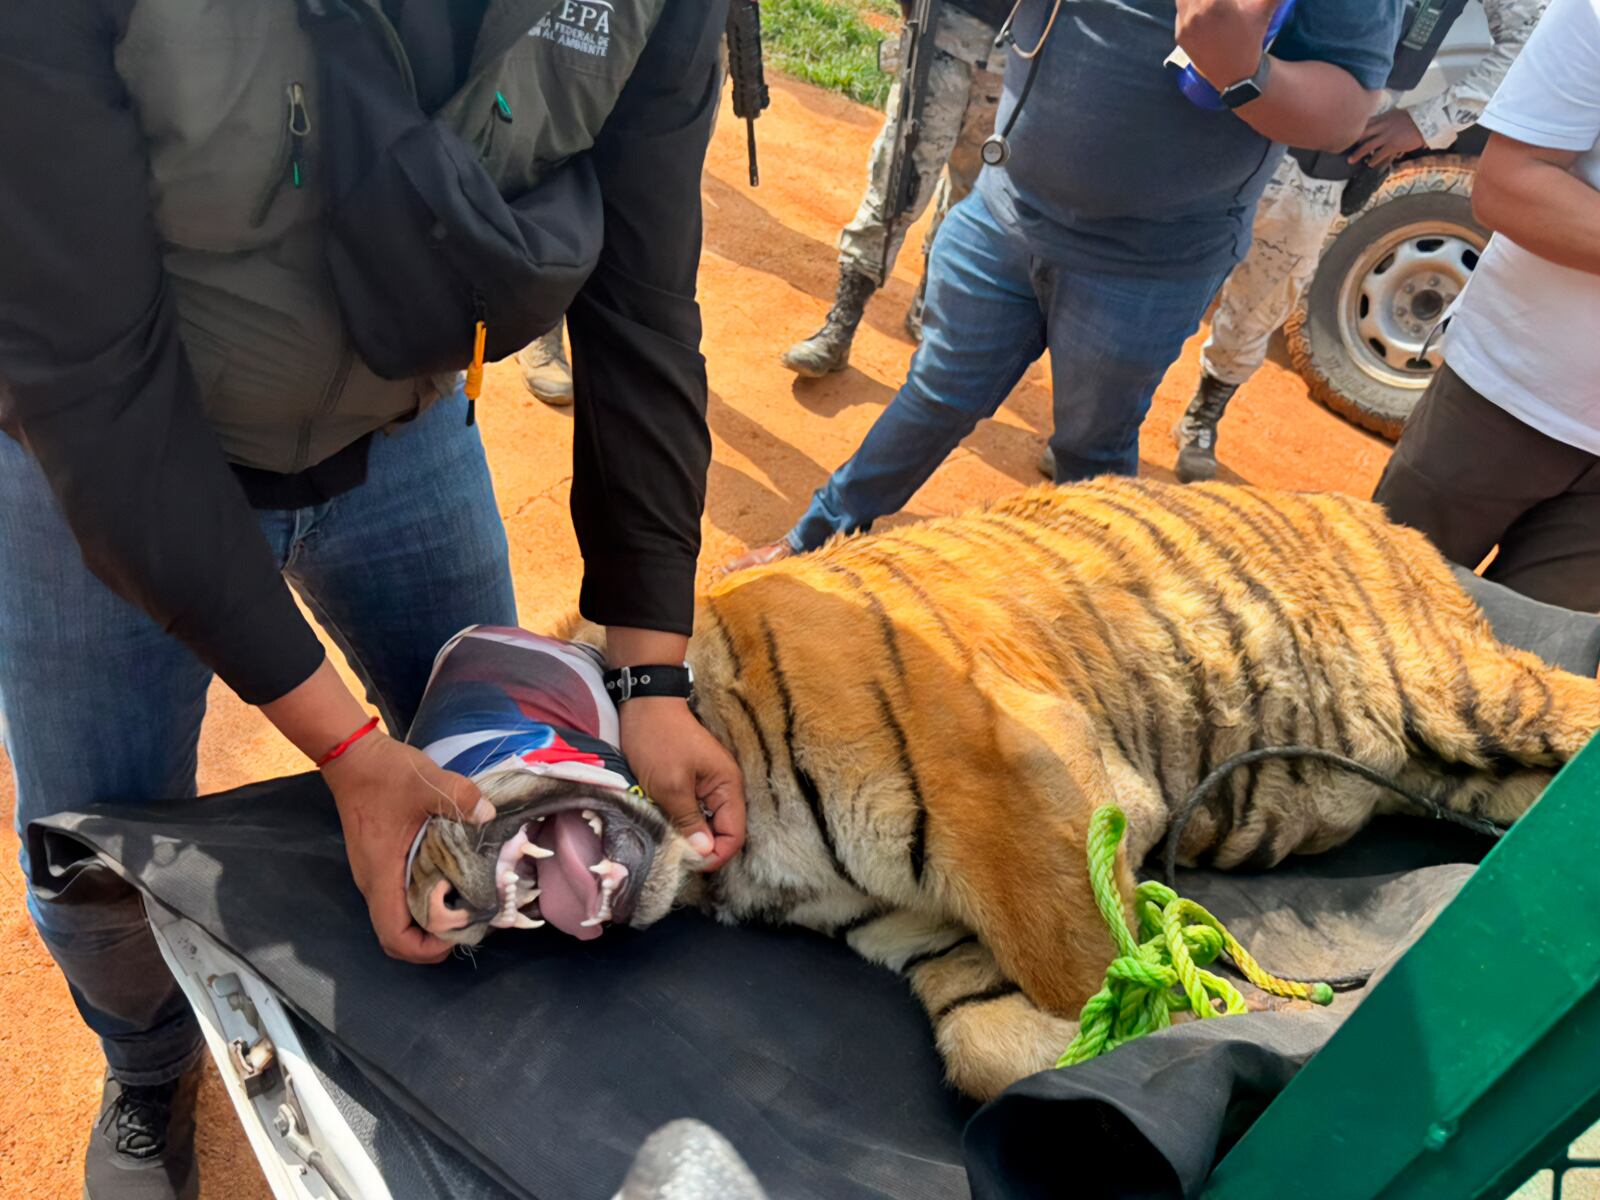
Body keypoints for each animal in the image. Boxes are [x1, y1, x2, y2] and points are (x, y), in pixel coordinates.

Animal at [406, 477, 1600, 1101]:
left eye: (457, 728)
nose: (423, 897)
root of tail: (1394, 525)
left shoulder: (1012, 778)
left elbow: (1087, 962)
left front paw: (1233, 1026)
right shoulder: (928, 927)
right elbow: (994, 1038)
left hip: (1472, 696)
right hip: (1455, 767)